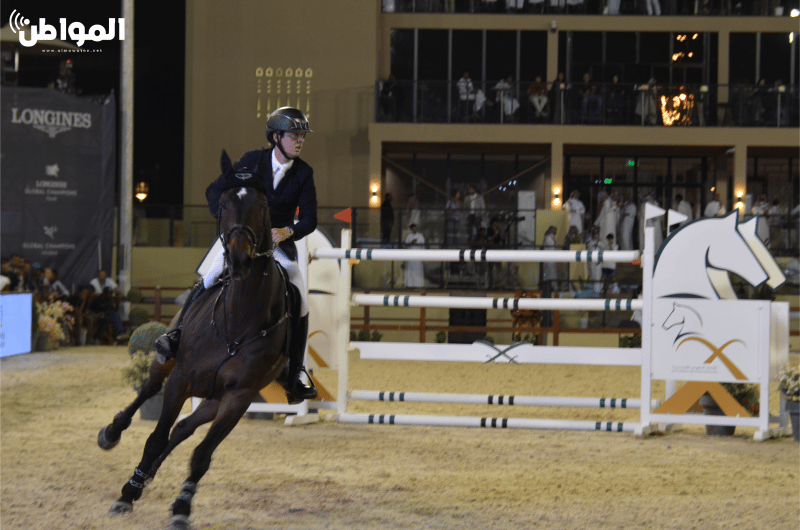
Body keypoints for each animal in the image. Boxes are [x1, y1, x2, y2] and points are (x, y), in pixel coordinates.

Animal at [98, 163, 295, 529]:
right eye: (225, 203)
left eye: (262, 206)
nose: (239, 259)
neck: (238, 320)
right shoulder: (182, 378)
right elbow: (155, 437)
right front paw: (126, 495)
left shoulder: (238, 397)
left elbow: (201, 455)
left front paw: (181, 507)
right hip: (167, 362)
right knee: (148, 391)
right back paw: (114, 436)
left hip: (214, 398)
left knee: (183, 429)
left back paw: (147, 476)